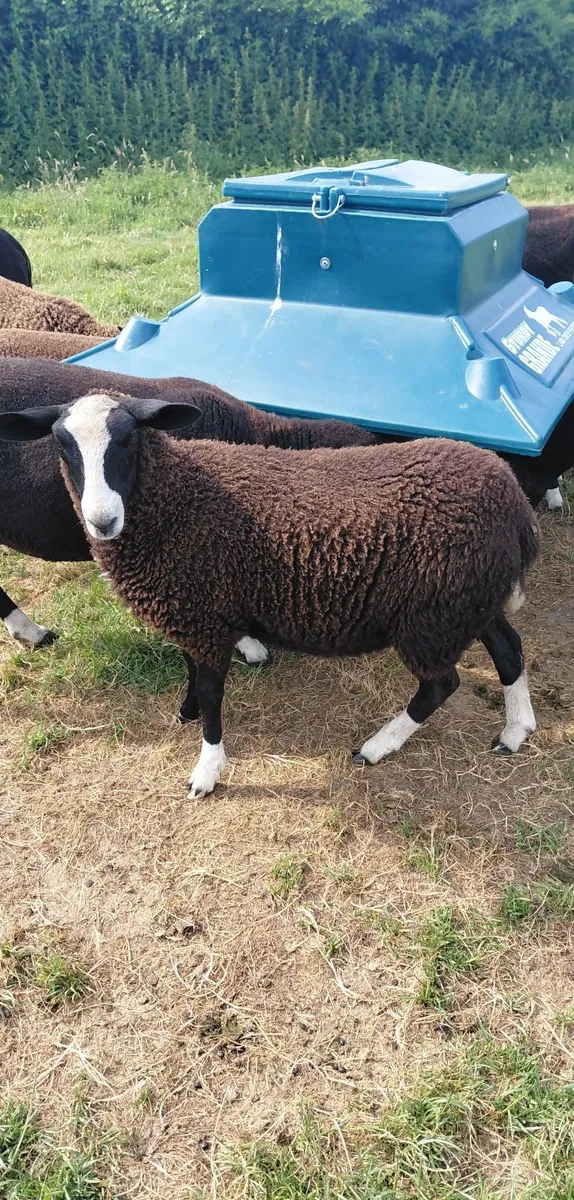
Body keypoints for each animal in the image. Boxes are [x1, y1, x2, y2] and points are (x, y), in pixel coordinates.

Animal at [0, 391, 540, 799]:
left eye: (128, 438)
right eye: (61, 445)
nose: (102, 520)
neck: (176, 503)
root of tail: (514, 500)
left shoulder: (205, 616)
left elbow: (213, 695)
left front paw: (206, 771)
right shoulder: (195, 610)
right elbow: (191, 671)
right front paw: (186, 711)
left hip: (433, 615)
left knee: (441, 684)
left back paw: (378, 745)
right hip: (466, 600)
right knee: (508, 649)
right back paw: (515, 731)